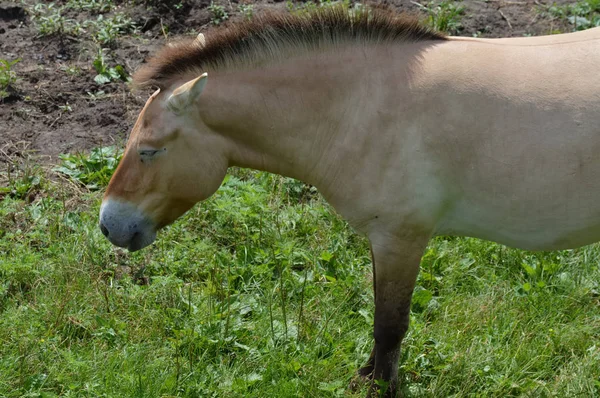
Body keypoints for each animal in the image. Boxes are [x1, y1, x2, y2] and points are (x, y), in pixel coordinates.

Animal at [101, 7, 600, 398]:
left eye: (149, 151)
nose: (109, 225)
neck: (360, 108)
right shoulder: (384, 241)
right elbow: (381, 321)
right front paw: (367, 376)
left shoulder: (401, 239)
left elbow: (390, 324)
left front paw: (382, 387)